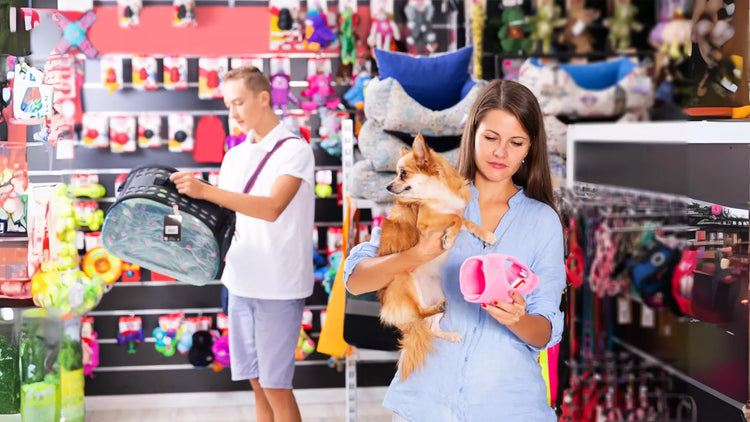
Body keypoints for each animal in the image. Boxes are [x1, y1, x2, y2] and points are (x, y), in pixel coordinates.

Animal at [378, 134, 496, 380]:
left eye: (403, 173)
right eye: (396, 173)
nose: (388, 186)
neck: (436, 194)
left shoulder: (456, 211)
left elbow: (466, 221)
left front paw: (486, 234)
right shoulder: (427, 222)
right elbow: (455, 218)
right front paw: (449, 238)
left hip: (439, 294)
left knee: (431, 327)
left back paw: (449, 332)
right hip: (407, 283)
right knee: (419, 313)